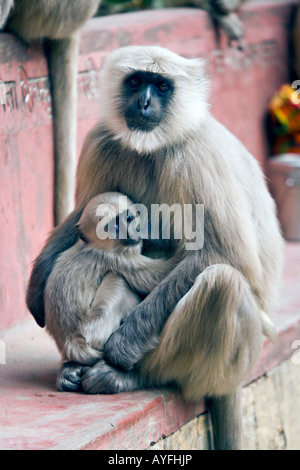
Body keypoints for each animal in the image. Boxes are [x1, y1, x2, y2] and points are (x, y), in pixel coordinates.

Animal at [45, 191, 179, 392]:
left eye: (128, 218)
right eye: (115, 227)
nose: (130, 233)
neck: (93, 246)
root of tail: (71, 342)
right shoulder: (116, 258)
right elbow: (160, 275)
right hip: (95, 327)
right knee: (118, 279)